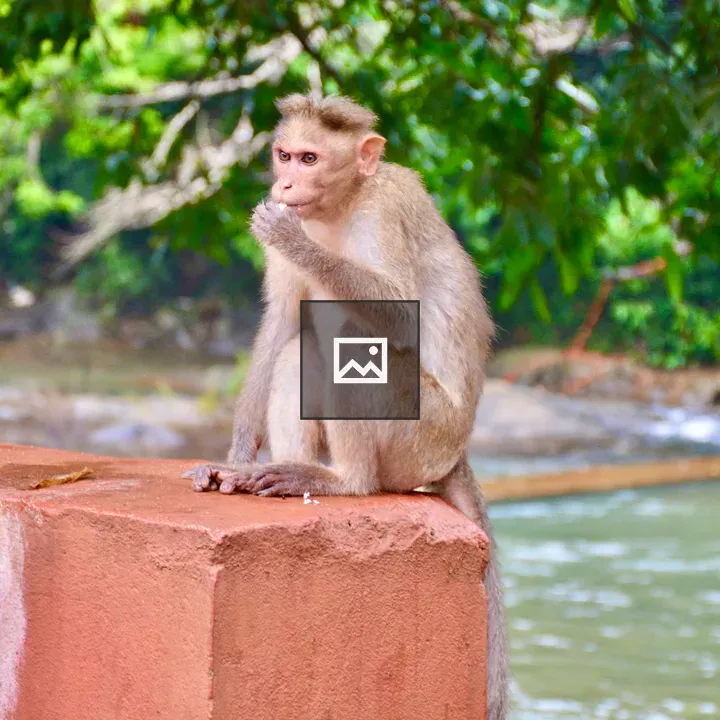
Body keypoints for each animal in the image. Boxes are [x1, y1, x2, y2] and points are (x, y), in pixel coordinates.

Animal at [182, 93, 509, 720]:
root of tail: (455, 451)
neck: (341, 204)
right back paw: (287, 472)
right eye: (285, 154)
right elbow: (279, 326)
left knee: (349, 334)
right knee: (300, 345)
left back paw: (346, 482)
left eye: (310, 158)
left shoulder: (385, 210)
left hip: (420, 436)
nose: (285, 183)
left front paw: (294, 239)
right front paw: (234, 459)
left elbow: (398, 311)